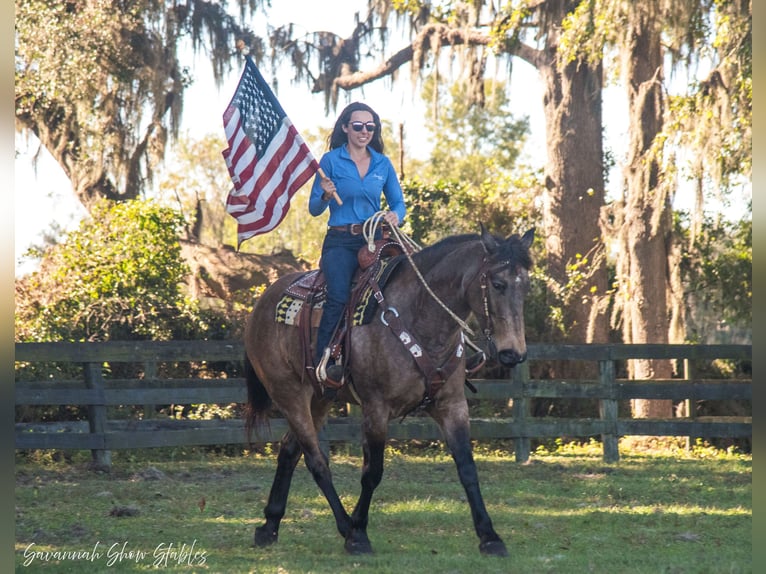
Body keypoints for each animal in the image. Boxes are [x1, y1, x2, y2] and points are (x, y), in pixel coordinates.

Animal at [244, 224, 536, 560]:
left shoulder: (452, 406)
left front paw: (490, 536)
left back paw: (270, 525)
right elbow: (372, 472)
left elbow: (467, 468)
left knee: (289, 451)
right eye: (498, 284)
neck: (419, 316)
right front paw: (359, 532)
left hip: (319, 398)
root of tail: (262, 303)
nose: (513, 353)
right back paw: (346, 529)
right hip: (288, 393)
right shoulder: (376, 409)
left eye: (527, 287)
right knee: (317, 462)